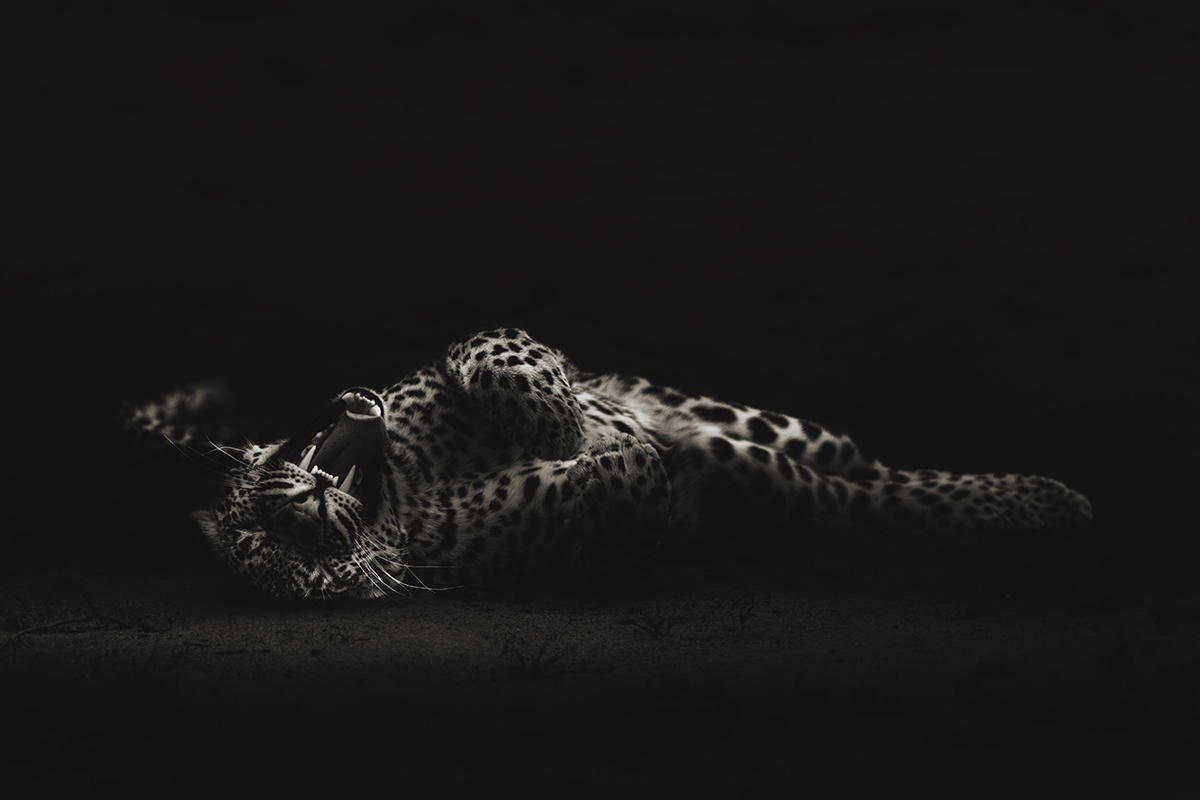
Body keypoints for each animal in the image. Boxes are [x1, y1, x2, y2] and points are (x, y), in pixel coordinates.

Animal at [123, 327, 1092, 600]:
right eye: (293, 559)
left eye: (268, 509)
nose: (307, 505)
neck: (404, 485)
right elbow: (613, 492)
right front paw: (609, 460)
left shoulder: (461, 364)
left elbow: (497, 359)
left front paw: (569, 417)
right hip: (781, 485)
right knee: (872, 501)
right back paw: (1043, 509)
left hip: (775, 429)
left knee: (870, 468)